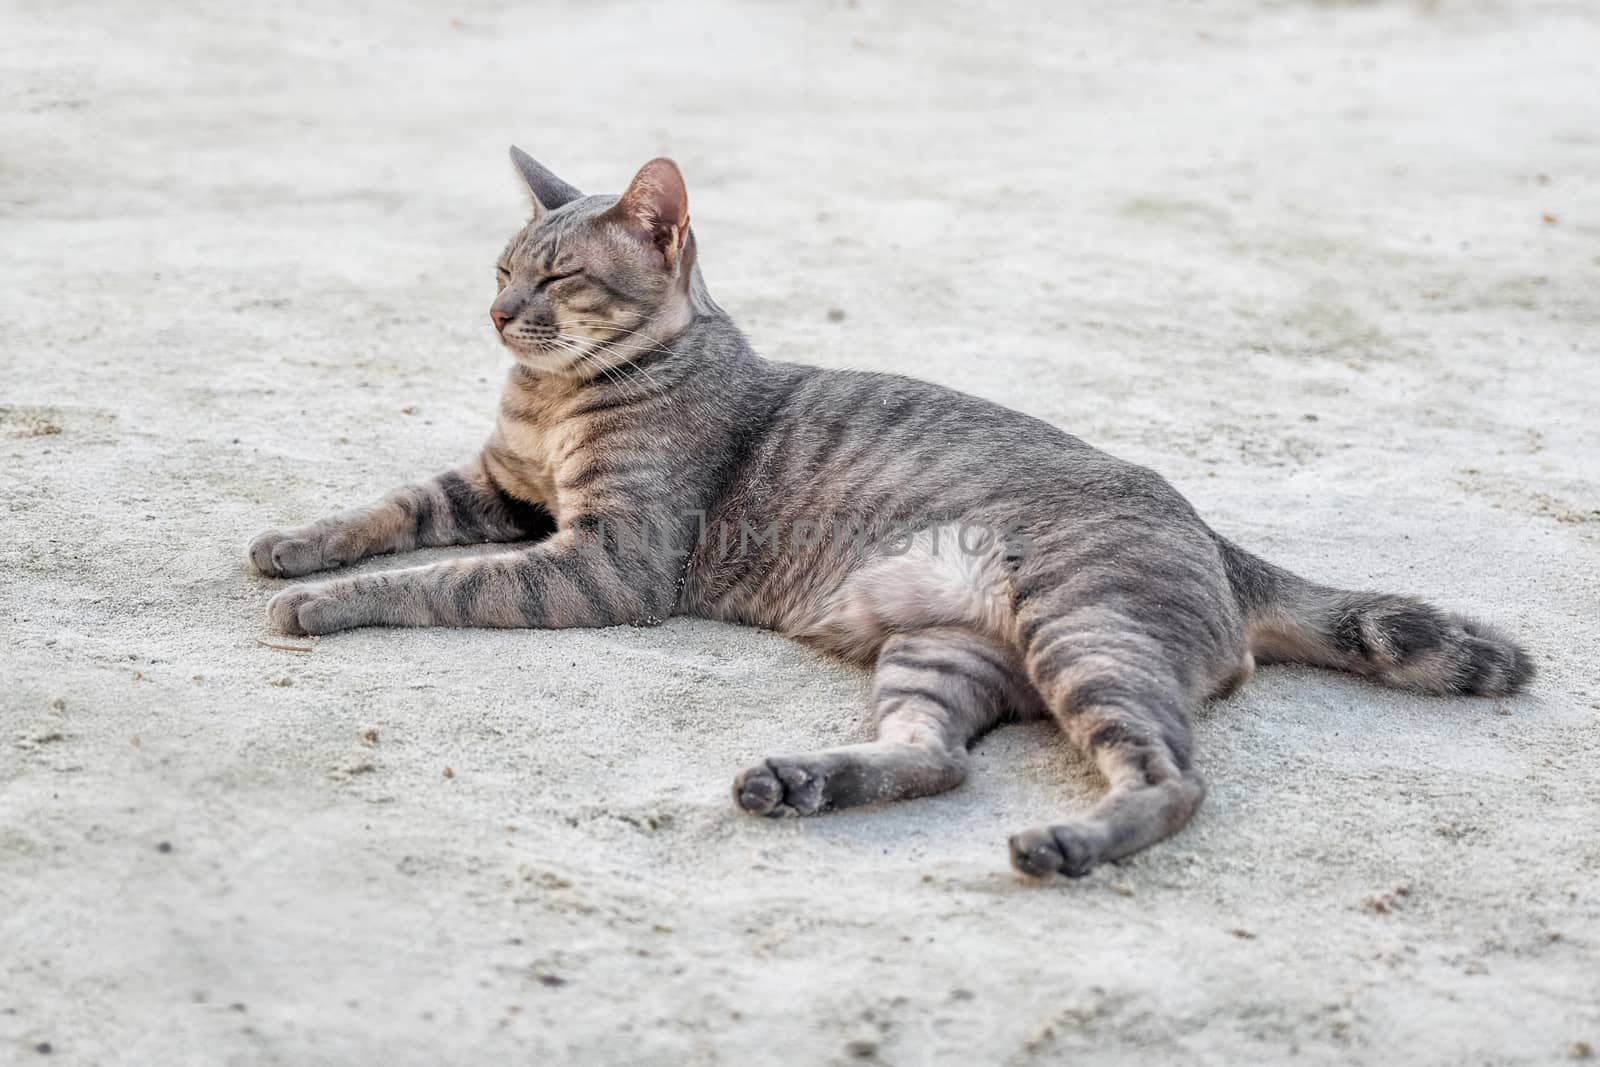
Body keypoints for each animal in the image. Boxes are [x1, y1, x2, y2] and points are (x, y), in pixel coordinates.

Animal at [243, 146, 1529, 876]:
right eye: (502, 265)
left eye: (556, 277)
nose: (502, 314)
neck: (553, 397)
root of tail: (1213, 532)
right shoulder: (499, 490)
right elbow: (386, 509)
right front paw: (294, 542)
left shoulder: (601, 559)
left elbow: (431, 577)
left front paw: (324, 606)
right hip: (944, 650)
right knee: (935, 759)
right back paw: (801, 780)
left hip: (1083, 629)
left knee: (1170, 778)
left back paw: (1066, 843)